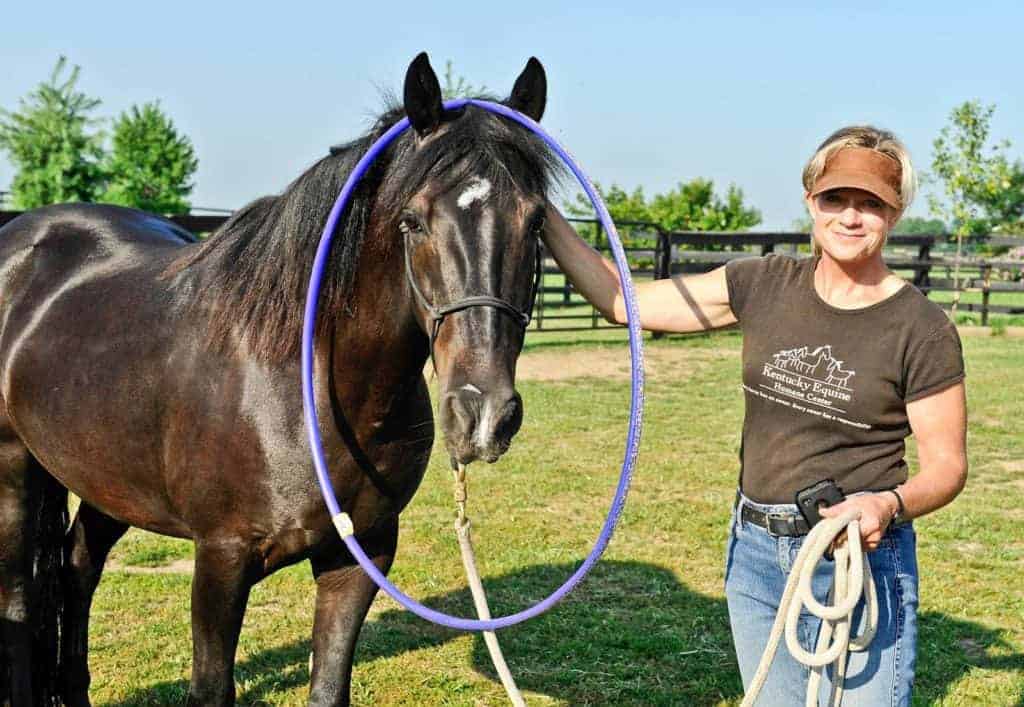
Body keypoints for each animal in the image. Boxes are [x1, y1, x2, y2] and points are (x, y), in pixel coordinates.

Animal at [0, 52, 555, 706]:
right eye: (413, 222)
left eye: (536, 222)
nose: (483, 414)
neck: (304, 389)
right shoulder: (221, 560)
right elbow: (211, 687)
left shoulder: (362, 555)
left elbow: (329, 686)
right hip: (14, 472)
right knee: (20, 597)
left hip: (108, 479)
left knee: (76, 570)